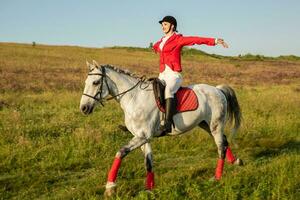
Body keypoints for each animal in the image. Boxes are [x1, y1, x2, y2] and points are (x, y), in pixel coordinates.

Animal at [79, 60, 241, 195]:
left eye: (96, 82)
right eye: (86, 82)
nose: (84, 108)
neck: (134, 97)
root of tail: (218, 90)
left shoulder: (142, 136)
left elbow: (120, 152)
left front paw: (110, 187)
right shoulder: (143, 138)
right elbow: (149, 163)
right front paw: (149, 189)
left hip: (215, 126)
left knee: (220, 147)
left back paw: (217, 177)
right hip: (206, 125)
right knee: (224, 142)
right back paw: (235, 162)